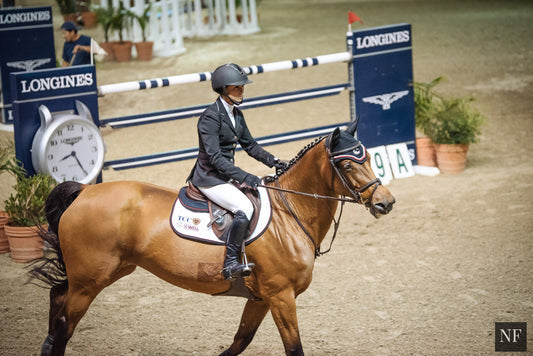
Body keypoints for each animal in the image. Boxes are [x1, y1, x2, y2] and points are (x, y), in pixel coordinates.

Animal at [30, 118, 394, 354]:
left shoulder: (261, 298)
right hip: (90, 281)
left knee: (57, 299)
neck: (289, 215)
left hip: (105, 272)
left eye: (369, 157)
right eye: (347, 166)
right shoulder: (281, 296)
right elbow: (293, 348)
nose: (385, 202)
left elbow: (240, 341)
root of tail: (84, 191)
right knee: (64, 325)